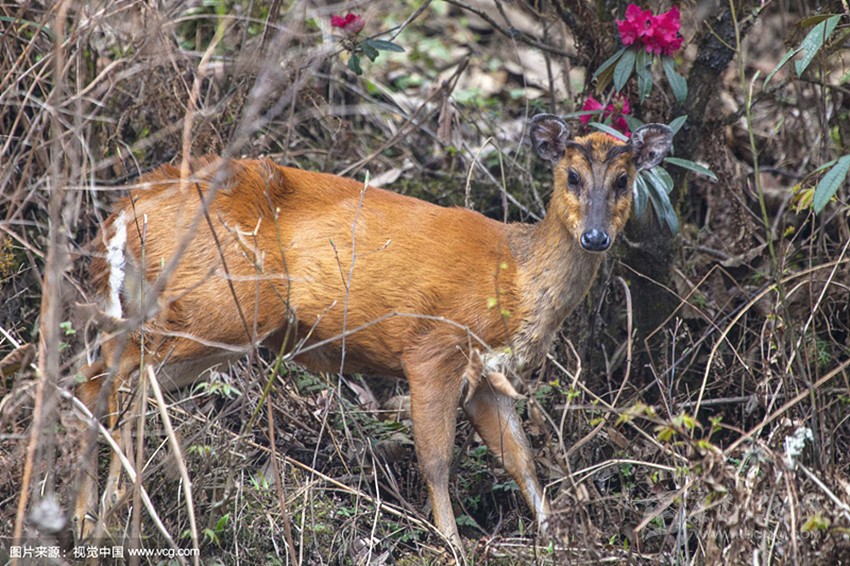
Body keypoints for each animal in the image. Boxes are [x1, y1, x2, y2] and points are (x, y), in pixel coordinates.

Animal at [73, 114, 672, 547]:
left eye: (624, 180)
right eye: (572, 176)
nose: (595, 236)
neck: (514, 277)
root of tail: (125, 212)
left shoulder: (487, 376)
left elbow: (521, 458)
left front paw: (556, 536)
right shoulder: (432, 347)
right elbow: (435, 458)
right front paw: (451, 543)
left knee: (111, 375)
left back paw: (95, 516)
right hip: (223, 304)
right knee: (112, 373)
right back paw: (101, 513)